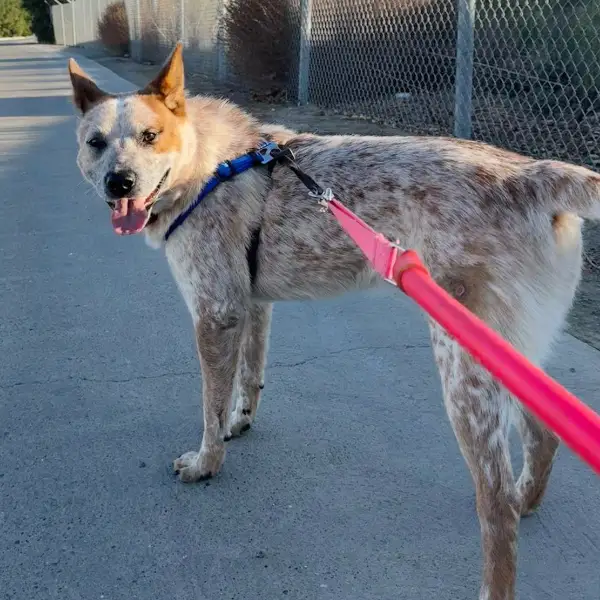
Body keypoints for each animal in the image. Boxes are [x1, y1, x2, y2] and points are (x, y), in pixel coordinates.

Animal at [67, 43, 600, 600]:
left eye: (151, 136)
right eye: (95, 143)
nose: (119, 183)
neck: (203, 165)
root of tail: (532, 176)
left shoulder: (215, 313)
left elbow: (210, 407)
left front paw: (206, 463)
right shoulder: (251, 306)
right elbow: (248, 379)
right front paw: (241, 422)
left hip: (465, 367)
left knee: (496, 506)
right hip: (510, 353)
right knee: (544, 436)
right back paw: (527, 497)